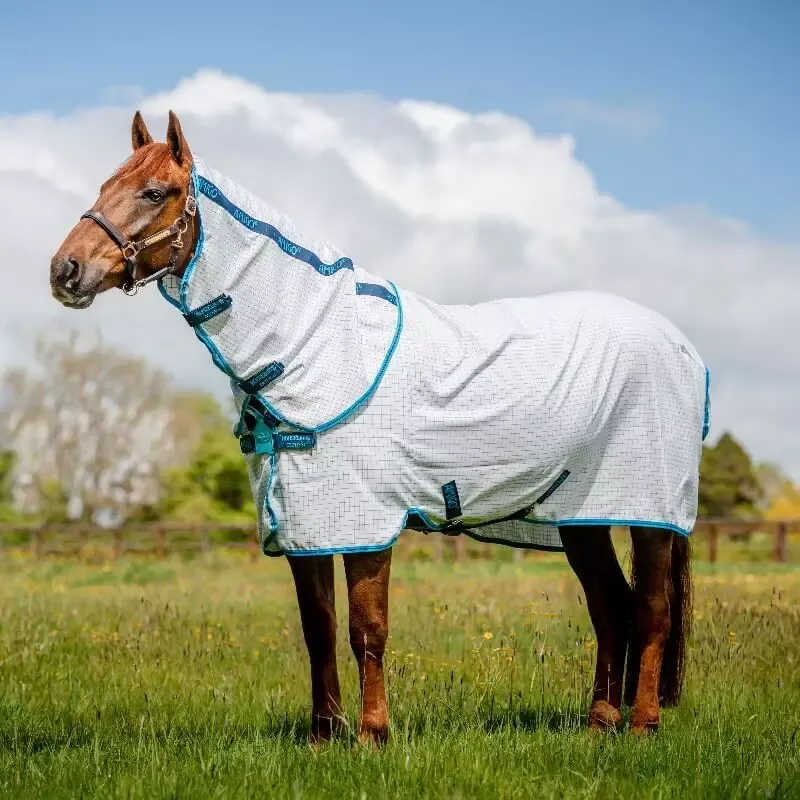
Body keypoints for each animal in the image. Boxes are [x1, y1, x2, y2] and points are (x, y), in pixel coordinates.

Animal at [50, 110, 706, 744]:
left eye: (153, 192)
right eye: (105, 186)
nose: (64, 270)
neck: (316, 341)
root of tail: (682, 348)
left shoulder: (364, 519)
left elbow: (367, 628)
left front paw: (372, 733)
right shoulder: (307, 518)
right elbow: (318, 628)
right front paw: (323, 735)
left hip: (648, 510)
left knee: (651, 611)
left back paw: (642, 725)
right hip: (580, 515)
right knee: (611, 607)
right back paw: (600, 724)